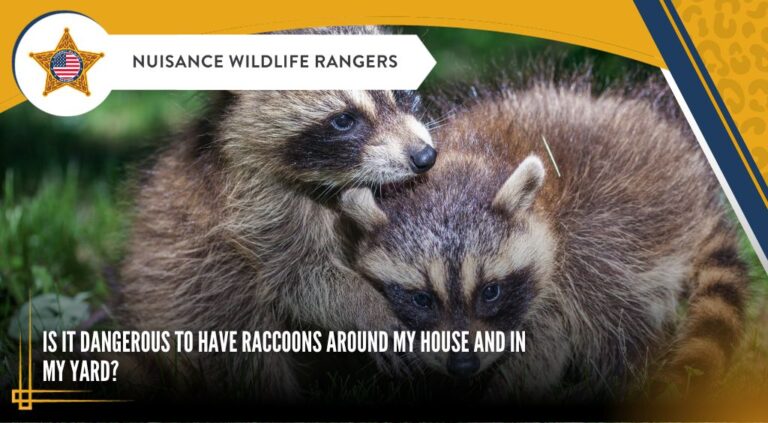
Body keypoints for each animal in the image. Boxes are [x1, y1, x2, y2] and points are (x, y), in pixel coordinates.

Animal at [118, 26, 436, 400]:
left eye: (401, 94)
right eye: (343, 120)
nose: (425, 156)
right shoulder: (252, 205)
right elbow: (297, 276)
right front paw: (366, 306)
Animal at [339, 79, 749, 401]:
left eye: (490, 291)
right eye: (421, 299)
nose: (464, 365)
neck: (471, 159)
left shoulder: (574, 256)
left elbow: (548, 342)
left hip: (634, 221)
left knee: (617, 320)